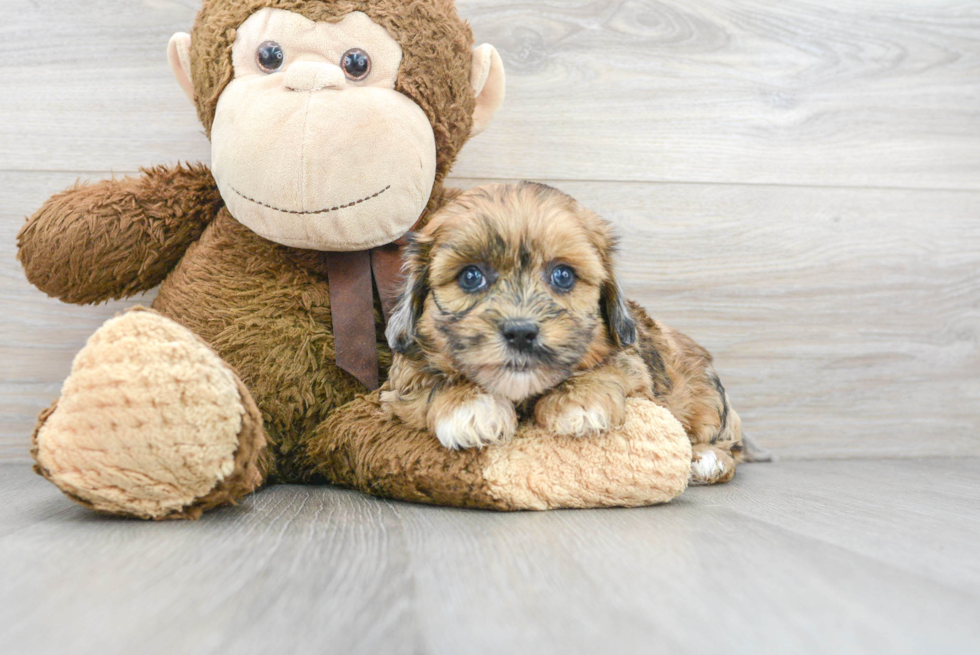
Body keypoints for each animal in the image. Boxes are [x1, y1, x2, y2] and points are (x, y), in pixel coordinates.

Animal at [382, 182, 744, 484]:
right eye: (471, 277)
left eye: (563, 276)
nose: (521, 332)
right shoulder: (400, 381)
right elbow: (429, 383)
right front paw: (470, 406)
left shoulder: (635, 370)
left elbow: (609, 368)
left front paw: (579, 403)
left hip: (709, 404)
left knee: (730, 445)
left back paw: (708, 460)